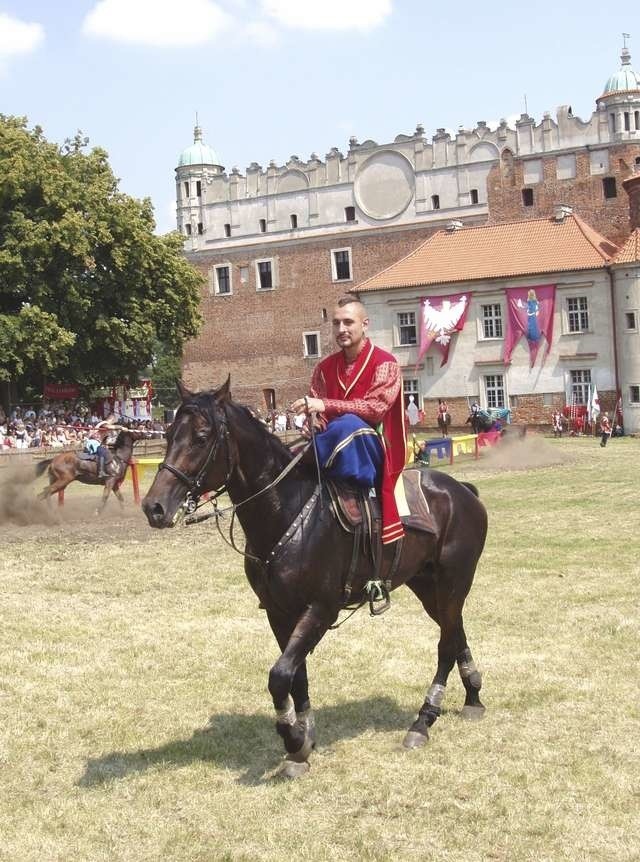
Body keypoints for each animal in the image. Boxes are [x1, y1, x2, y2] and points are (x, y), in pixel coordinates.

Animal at [142, 382, 488, 780]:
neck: (288, 511)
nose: (153, 507)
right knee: (456, 632)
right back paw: (473, 696)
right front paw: (303, 740)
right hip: (429, 587)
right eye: (169, 434)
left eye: (201, 437)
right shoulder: (279, 613)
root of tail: (463, 491)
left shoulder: (320, 610)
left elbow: (279, 675)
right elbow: (297, 676)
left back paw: (423, 721)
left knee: (445, 645)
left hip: (453, 583)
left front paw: (293, 740)